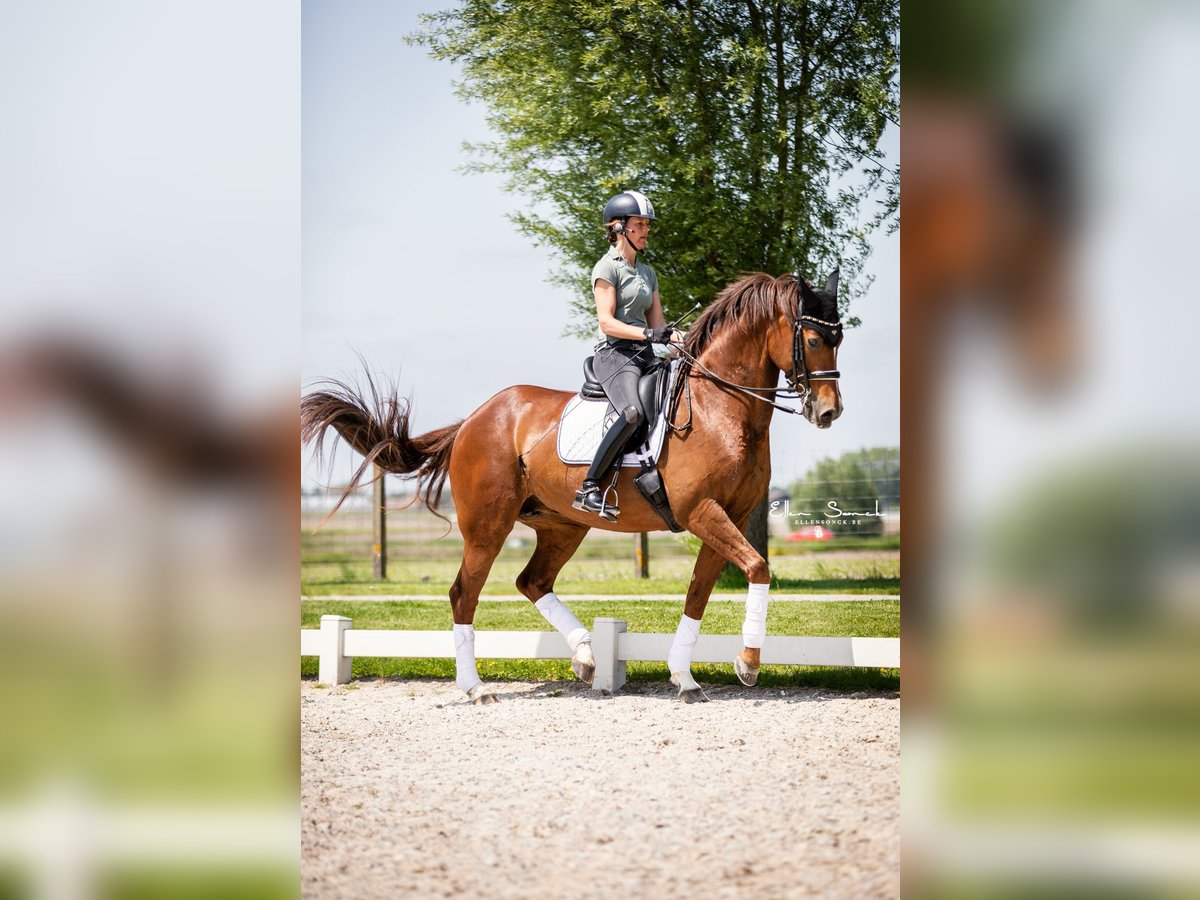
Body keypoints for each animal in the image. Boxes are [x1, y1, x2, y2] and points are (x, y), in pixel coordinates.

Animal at [301, 270, 844, 702]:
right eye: (815, 340)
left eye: (839, 338)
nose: (829, 412)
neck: (719, 407)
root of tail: (474, 418)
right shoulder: (701, 511)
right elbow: (757, 567)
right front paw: (748, 663)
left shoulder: (726, 516)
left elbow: (701, 594)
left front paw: (685, 677)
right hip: (489, 526)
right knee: (464, 594)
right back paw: (475, 688)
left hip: (562, 526)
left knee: (532, 582)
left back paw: (585, 655)